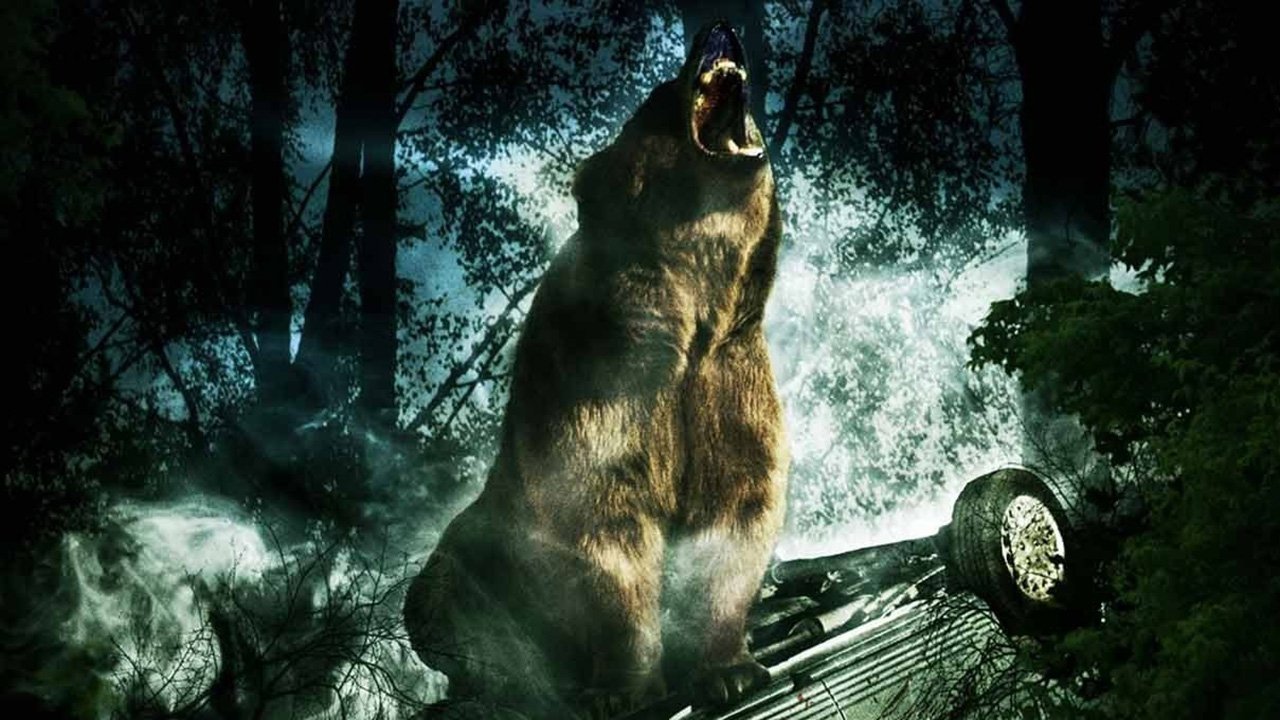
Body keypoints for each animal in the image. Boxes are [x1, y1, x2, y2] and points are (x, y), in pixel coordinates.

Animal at [404, 21, 788, 718]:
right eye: (659, 93)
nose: (719, 30)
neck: (692, 313)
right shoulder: (604, 382)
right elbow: (601, 526)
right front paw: (624, 687)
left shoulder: (729, 379)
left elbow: (737, 511)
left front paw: (731, 668)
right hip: (469, 559)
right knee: (446, 608)